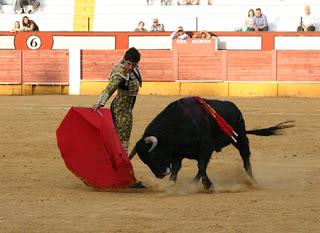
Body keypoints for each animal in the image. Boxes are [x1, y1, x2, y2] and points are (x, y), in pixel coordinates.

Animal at [129, 97, 294, 192]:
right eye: (144, 160)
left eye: (152, 155)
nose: (160, 174)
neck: (179, 122)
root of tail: (235, 107)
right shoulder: (179, 153)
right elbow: (178, 169)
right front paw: (170, 184)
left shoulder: (205, 146)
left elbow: (201, 166)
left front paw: (209, 186)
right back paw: (192, 183)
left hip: (240, 138)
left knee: (246, 159)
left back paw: (253, 182)